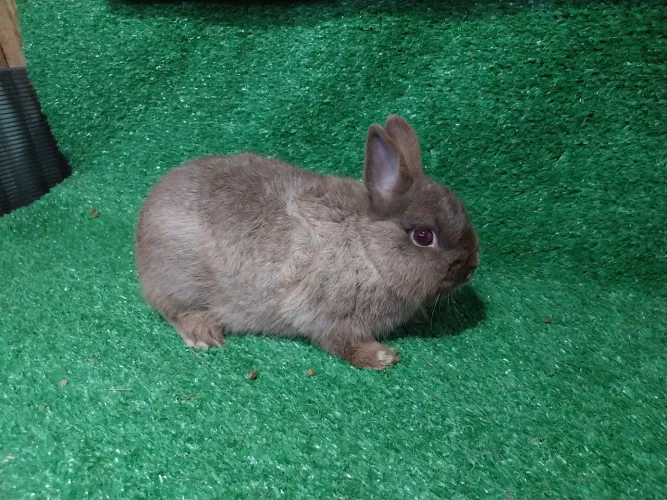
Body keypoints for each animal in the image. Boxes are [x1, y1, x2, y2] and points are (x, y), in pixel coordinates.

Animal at [135, 115, 479, 370]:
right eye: (423, 236)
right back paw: (205, 335)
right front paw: (382, 356)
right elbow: (340, 342)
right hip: (182, 281)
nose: (472, 266)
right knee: (174, 311)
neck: (367, 250)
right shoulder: (327, 313)